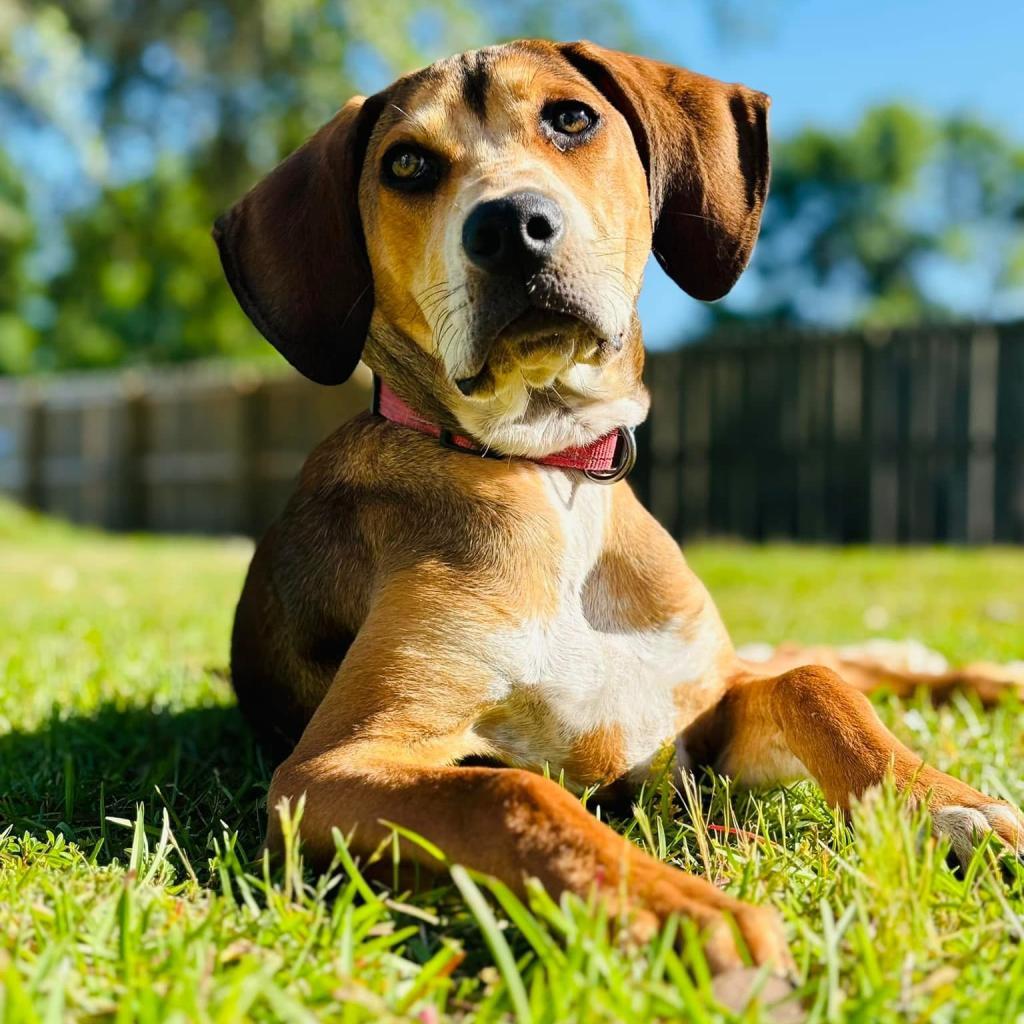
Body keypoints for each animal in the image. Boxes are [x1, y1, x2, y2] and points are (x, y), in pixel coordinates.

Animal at [211, 39, 1019, 991]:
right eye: (405, 165)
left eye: (571, 118)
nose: (510, 226)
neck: (552, 479)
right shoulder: (330, 769)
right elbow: (511, 790)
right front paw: (686, 912)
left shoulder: (698, 715)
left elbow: (817, 688)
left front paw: (947, 805)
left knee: (832, 662)